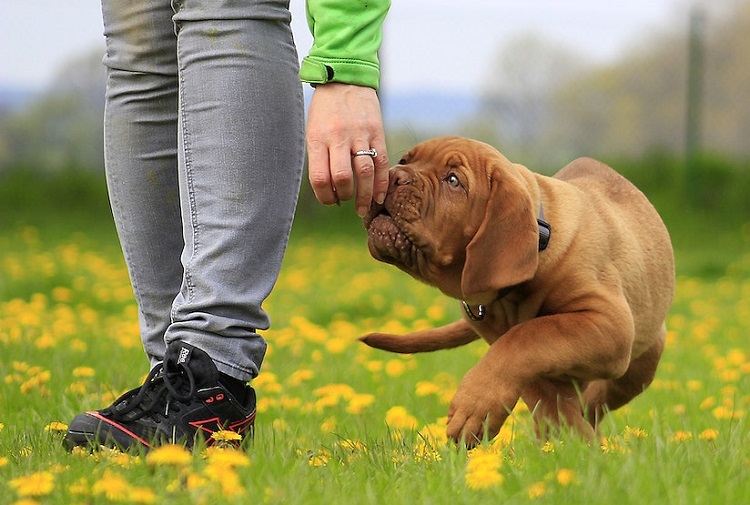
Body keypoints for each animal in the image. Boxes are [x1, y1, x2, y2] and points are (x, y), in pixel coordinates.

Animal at [362, 135, 680, 444]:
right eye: (406, 160)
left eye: (453, 181)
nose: (393, 176)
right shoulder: (496, 333)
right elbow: (534, 378)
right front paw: (570, 439)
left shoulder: (609, 323)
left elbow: (526, 337)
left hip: (640, 364)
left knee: (598, 399)